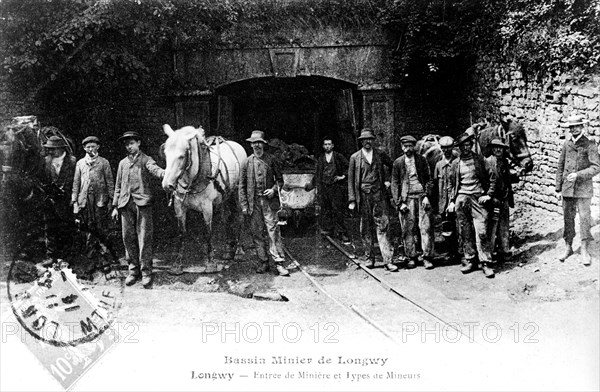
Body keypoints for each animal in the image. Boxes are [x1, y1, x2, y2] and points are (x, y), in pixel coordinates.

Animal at [161, 124, 247, 272]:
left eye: (181, 156)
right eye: (166, 154)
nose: (167, 185)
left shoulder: (207, 207)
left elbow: (208, 233)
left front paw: (210, 263)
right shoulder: (179, 206)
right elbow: (181, 233)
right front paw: (177, 265)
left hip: (237, 193)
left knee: (240, 217)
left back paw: (239, 251)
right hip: (224, 197)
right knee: (227, 218)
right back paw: (228, 250)